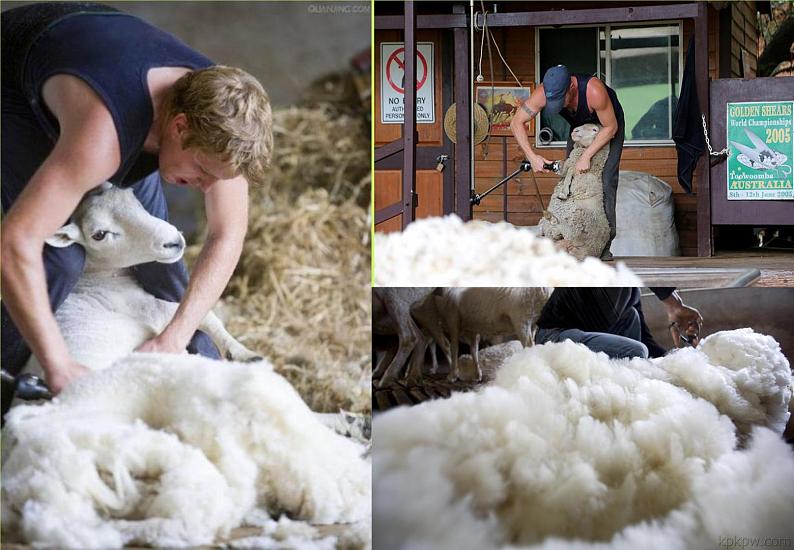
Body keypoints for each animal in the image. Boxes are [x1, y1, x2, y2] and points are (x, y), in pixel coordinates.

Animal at [540, 124, 612, 262]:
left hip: (575, 226)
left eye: (595, 130)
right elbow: (568, 168)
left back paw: (551, 217)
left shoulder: (582, 179)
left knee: (560, 229)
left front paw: (564, 192)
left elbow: (572, 169)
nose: (575, 130)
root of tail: (589, 253)